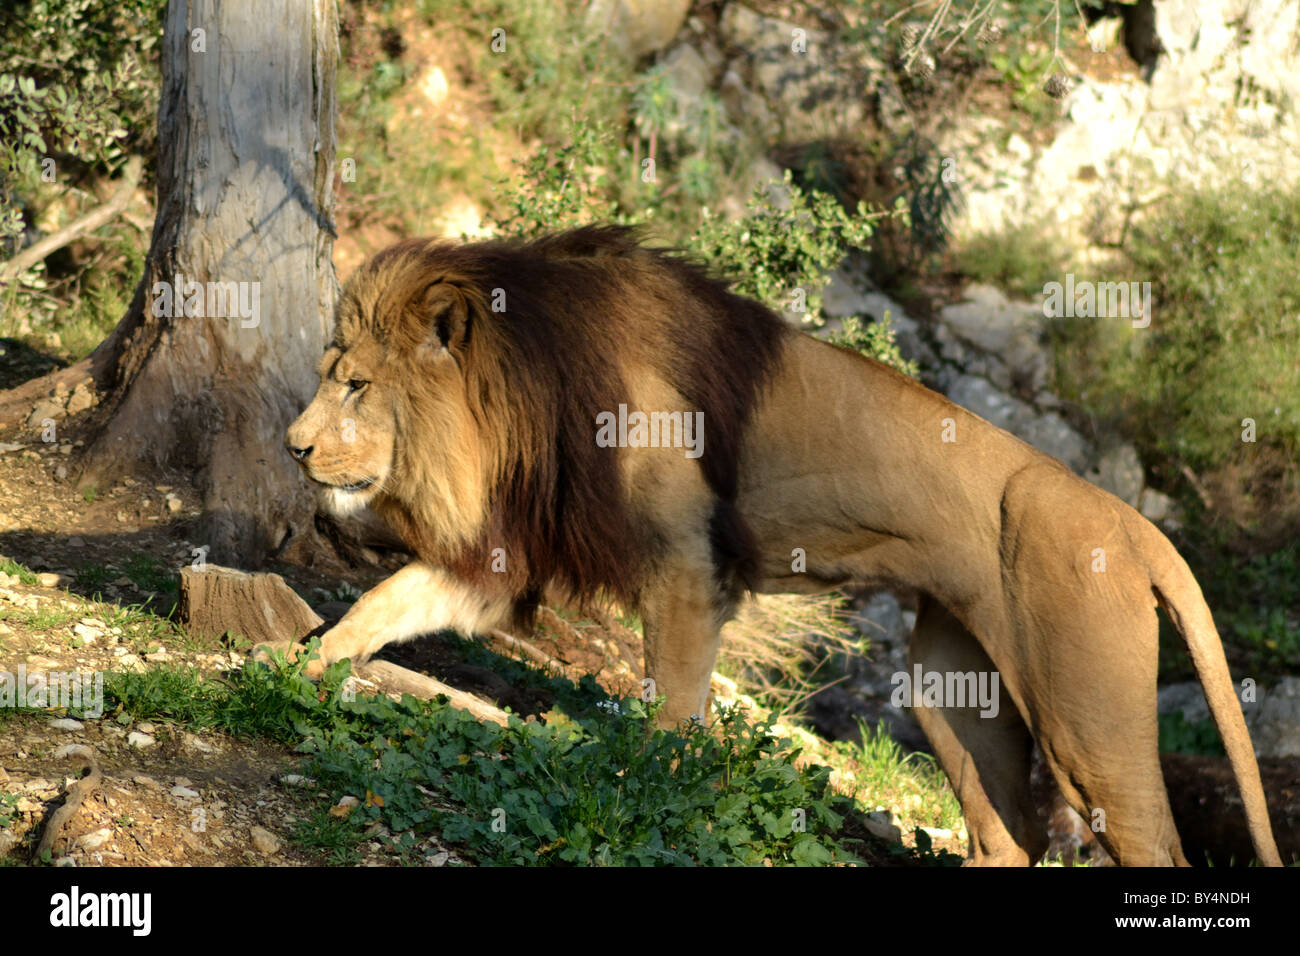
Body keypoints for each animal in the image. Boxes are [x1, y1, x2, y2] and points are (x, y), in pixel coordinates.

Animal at [284, 225, 1282, 867]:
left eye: (356, 385)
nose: (293, 447)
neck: (527, 391)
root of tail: (1130, 521)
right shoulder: (513, 550)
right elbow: (389, 599)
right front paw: (299, 663)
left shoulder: (686, 565)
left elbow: (672, 705)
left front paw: (652, 793)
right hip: (948, 687)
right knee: (1010, 835)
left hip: (1083, 712)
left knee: (1150, 844)